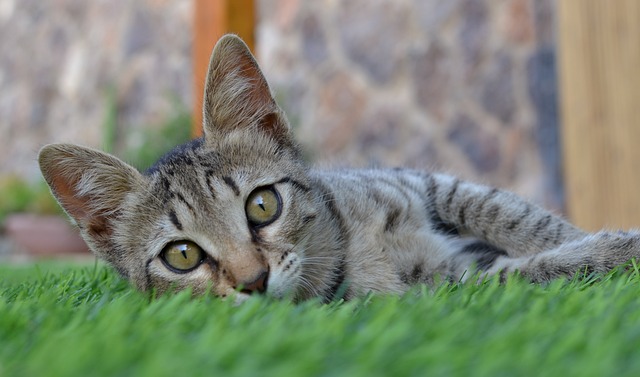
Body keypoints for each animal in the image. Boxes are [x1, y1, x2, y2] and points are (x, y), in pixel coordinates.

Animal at [38, 34, 640, 302]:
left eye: (262, 204)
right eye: (181, 256)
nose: (253, 281)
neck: (349, 240)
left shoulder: (435, 185)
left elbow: (524, 220)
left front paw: (580, 235)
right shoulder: (444, 286)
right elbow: (530, 271)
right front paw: (613, 251)